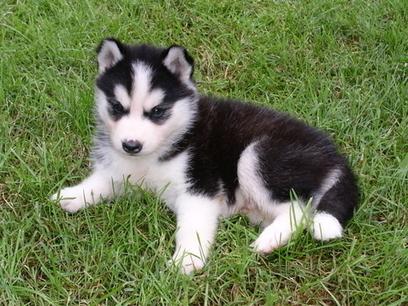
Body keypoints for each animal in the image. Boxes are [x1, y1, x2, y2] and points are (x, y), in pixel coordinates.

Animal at [50, 37, 356, 274]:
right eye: (116, 107)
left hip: (257, 156)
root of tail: (334, 153)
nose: (131, 145)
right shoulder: (122, 170)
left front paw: (185, 261)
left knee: (300, 209)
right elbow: (101, 182)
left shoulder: (200, 187)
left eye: (158, 111)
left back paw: (269, 240)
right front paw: (71, 196)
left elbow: (192, 227)